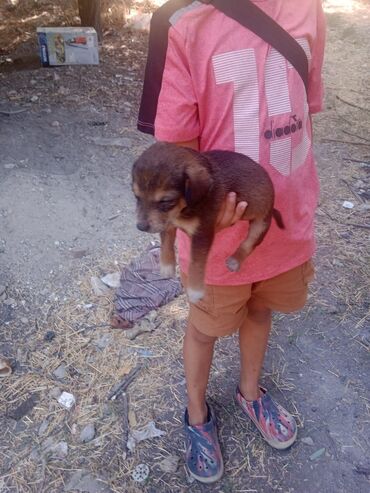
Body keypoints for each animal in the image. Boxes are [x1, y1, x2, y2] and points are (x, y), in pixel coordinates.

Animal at [132, 138, 284, 300]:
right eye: (137, 196)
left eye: (166, 201)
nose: (141, 227)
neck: (184, 209)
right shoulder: (167, 222)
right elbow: (166, 243)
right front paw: (166, 267)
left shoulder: (202, 233)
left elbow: (196, 263)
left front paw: (195, 290)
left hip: (261, 224)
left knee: (249, 243)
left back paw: (235, 260)